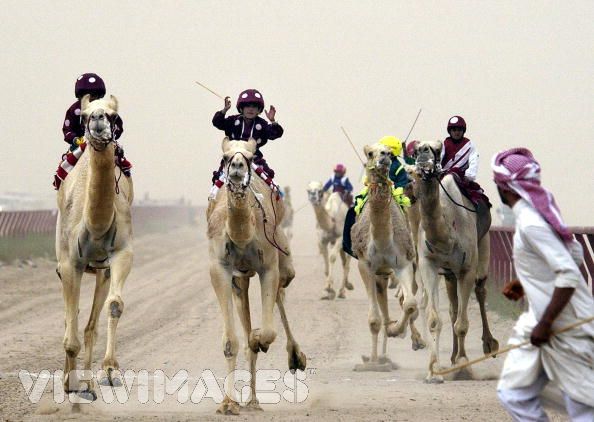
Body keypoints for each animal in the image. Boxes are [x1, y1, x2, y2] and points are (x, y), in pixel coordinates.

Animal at [55, 94, 133, 400]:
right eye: (85, 115)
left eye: (113, 115)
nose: (99, 119)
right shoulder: (70, 263)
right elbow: (70, 329)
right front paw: (70, 385)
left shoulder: (121, 254)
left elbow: (115, 305)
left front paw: (110, 370)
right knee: (71, 318)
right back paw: (73, 380)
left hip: (101, 270)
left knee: (90, 325)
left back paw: (89, 383)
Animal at [206, 138, 306, 416]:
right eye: (225, 157)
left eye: (251, 158)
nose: (237, 166)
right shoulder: (219, 268)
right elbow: (231, 341)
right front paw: (227, 404)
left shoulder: (269, 266)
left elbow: (269, 331)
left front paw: (258, 338)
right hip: (240, 279)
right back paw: (250, 400)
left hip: (283, 259)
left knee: (281, 292)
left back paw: (294, 357)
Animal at [350, 143, 418, 368]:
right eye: (370, 153)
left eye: (389, 151)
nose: (384, 158)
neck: (382, 242)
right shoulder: (365, 265)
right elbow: (374, 320)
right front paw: (372, 362)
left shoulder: (403, 263)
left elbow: (410, 304)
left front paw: (397, 330)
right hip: (379, 273)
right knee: (381, 304)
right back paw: (378, 357)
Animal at [414, 141, 498, 382]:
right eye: (416, 149)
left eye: (436, 148)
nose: (423, 152)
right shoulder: (429, 265)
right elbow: (435, 319)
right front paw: (434, 371)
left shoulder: (466, 269)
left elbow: (462, 324)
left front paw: (463, 365)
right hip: (449, 274)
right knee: (453, 308)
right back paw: (451, 357)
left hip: (483, 246)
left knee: (480, 290)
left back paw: (489, 345)